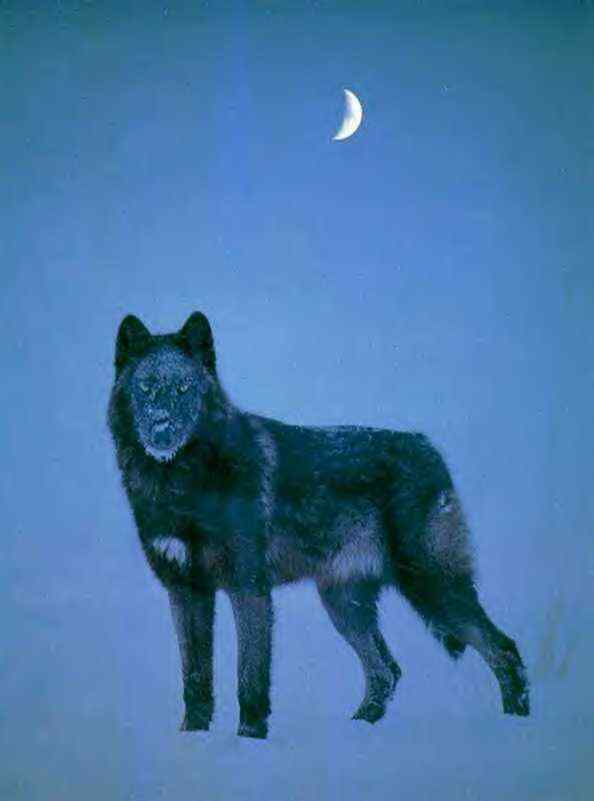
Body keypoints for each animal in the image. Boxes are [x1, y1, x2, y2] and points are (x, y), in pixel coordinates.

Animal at [107, 311, 529, 739]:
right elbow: (195, 678)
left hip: (430, 587)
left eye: (184, 388)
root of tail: (430, 449)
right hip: (345, 605)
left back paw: (516, 723)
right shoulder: (186, 591)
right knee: (387, 670)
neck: (185, 482)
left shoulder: (249, 588)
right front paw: (194, 737)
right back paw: (361, 727)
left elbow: (250, 677)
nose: (162, 430)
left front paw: (250, 738)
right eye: (146, 387)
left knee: (503, 649)